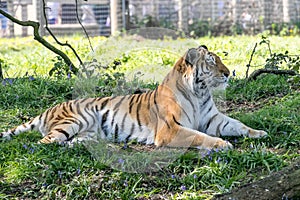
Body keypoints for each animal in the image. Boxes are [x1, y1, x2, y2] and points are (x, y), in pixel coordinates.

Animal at [0, 45, 268, 148]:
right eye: (211, 62)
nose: (227, 73)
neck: (200, 93)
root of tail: (48, 109)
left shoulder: (213, 118)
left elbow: (238, 124)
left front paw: (259, 133)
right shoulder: (171, 129)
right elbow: (199, 136)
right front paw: (222, 144)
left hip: (87, 131)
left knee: (71, 142)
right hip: (74, 120)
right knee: (43, 142)